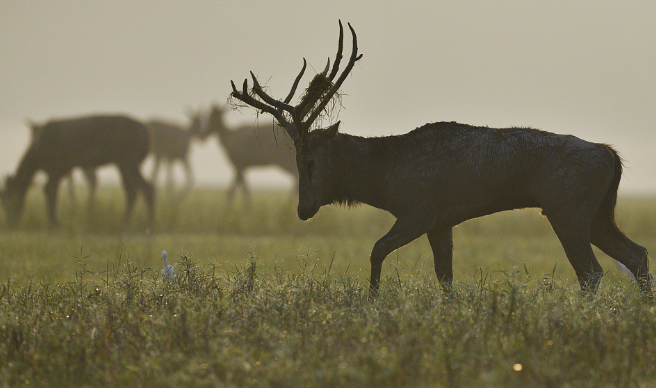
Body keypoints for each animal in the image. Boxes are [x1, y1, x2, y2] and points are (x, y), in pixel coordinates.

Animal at [1, 113, 155, 227]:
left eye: (8, 204)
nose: (10, 222)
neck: (36, 158)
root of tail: (146, 132)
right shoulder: (63, 169)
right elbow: (53, 192)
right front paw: (54, 222)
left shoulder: (54, 166)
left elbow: (49, 191)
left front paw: (55, 224)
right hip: (125, 162)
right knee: (133, 190)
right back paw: (127, 222)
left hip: (127, 158)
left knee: (145, 187)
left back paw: (147, 224)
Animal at [231, 19, 652, 296]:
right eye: (295, 160)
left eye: (310, 161)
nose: (303, 209)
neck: (383, 177)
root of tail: (612, 157)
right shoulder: (441, 222)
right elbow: (444, 277)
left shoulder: (418, 211)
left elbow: (376, 250)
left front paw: (372, 301)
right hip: (598, 213)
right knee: (636, 255)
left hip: (568, 210)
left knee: (593, 272)